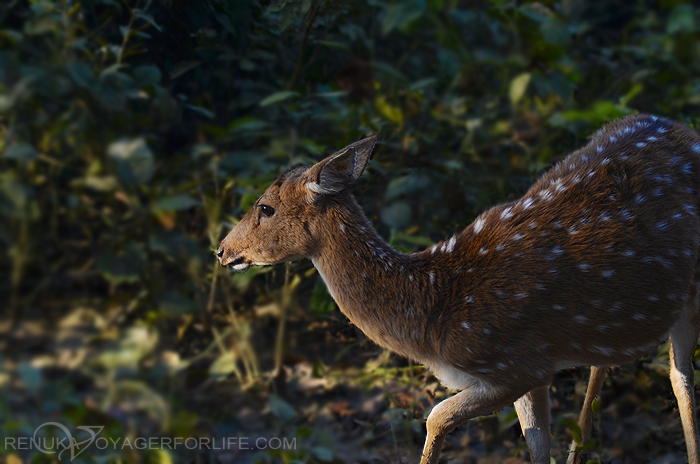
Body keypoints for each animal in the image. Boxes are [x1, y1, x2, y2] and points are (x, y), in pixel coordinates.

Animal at [216, 113, 700, 464]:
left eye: (265, 207)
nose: (221, 250)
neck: (432, 311)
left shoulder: (515, 365)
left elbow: (435, 417)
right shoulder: (535, 369)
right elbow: (534, 443)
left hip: (690, 295)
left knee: (681, 378)